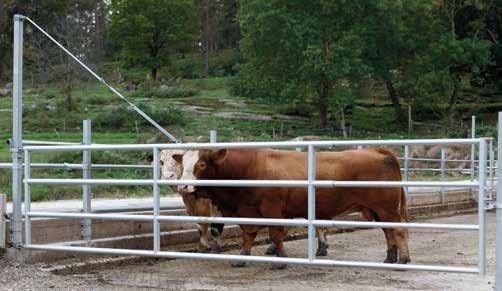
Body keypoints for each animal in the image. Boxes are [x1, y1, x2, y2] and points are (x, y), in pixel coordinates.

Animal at [175, 148, 410, 270]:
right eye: (182, 164)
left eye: (202, 164)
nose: (183, 186)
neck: (248, 169)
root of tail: (377, 150)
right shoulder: (248, 211)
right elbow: (248, 234)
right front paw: (242, 257)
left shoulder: (272, 210)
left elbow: (276, 235)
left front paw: (281, 260)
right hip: (377, 210)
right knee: (388, 231)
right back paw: (390, 257)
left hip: (387, 208)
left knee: (398, 229)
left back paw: (404, 259)